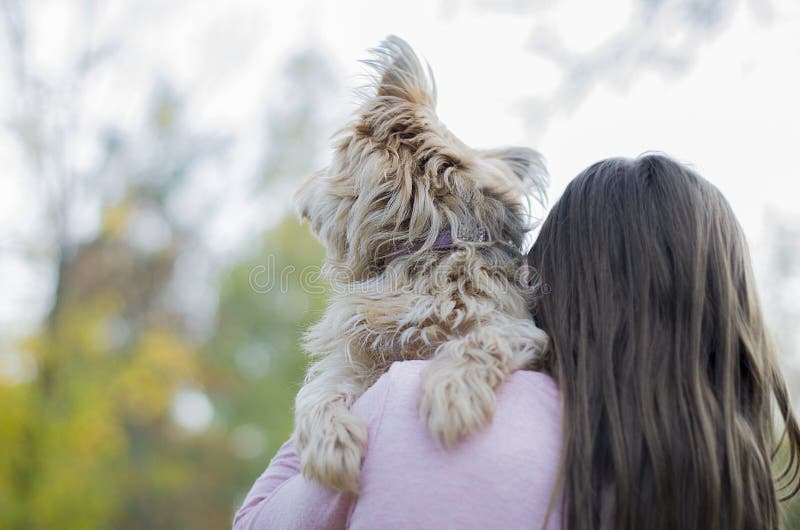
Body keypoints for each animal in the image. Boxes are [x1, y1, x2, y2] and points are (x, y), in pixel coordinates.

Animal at [294, 36, 552, 490]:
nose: (302, 194)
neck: (427, 248)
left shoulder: (519, 329)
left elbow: (481, 340)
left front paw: (452, 393)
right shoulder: (356, 362)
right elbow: (317, 392)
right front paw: (332, 444)